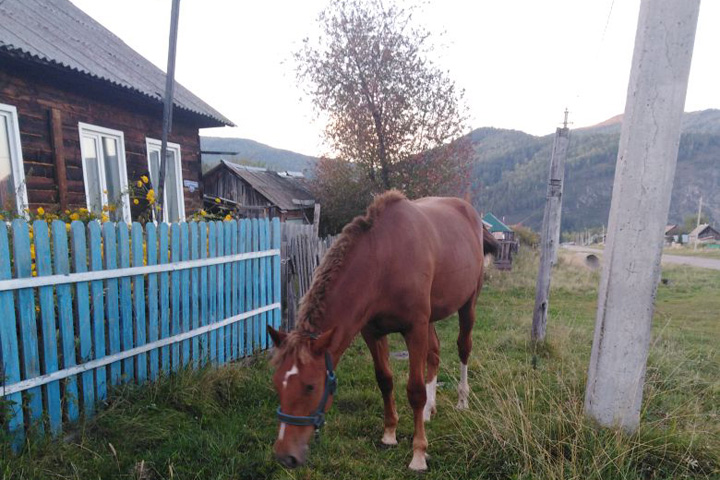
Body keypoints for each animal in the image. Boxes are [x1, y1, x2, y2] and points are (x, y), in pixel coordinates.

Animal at [268, 189, 498, 470]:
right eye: (278, 383)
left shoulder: (414, 329)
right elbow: (385, 380)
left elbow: (415, 391)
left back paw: (462, 400)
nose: (285, 456)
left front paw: (418, 453)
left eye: (310, 386)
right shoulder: (373, 332)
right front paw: (389, 434)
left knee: (463, 348)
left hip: (468, 305)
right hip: (431, 318)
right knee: (434, 353)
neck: (385, 260)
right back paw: (430, 408)